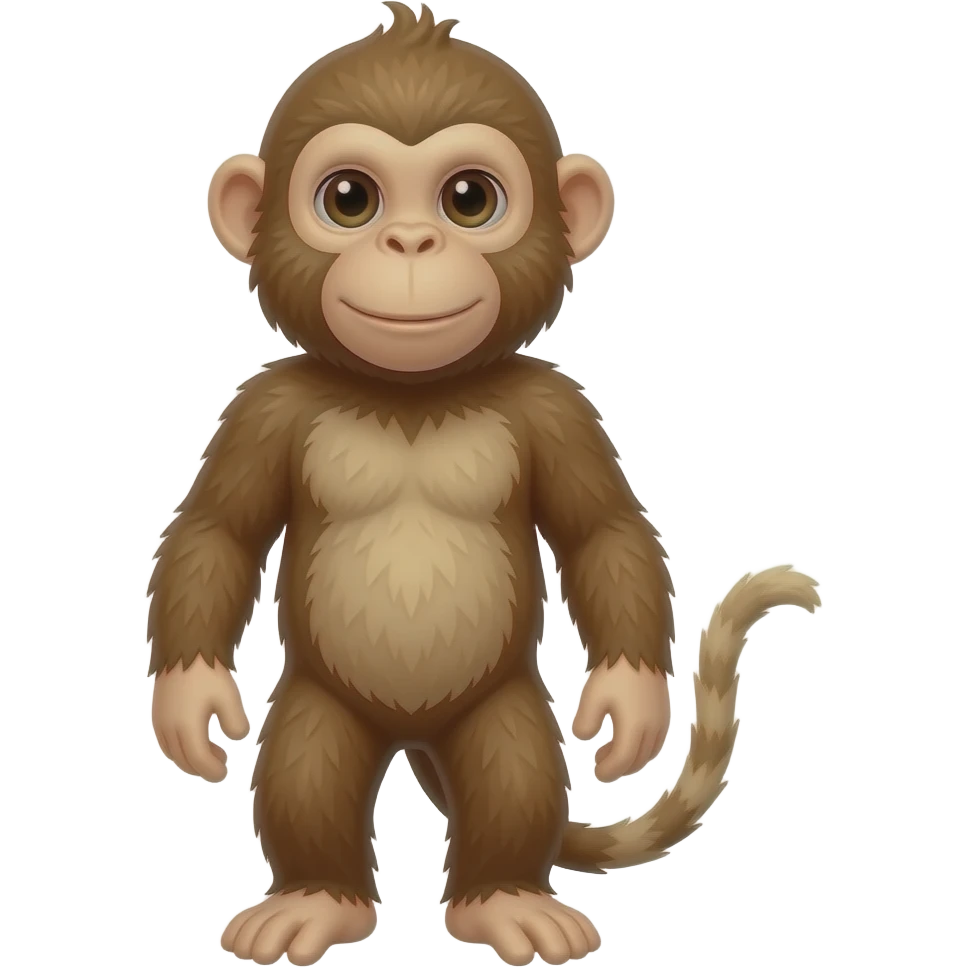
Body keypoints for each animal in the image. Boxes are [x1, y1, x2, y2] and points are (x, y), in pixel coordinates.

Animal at [146, 4, 824, 966]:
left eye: (470, 199)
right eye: (348, 199)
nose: (411, 242)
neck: (412, 394)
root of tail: (413, 734)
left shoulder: (555, 405)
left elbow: (603, 532)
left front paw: (629, 700)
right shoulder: (265, 407)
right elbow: (217, 533)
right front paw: (190, 699)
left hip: (502, 706)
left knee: (515, 770)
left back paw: (504, 899)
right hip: (319, 700)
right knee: (306, 767)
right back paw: (317, 898)